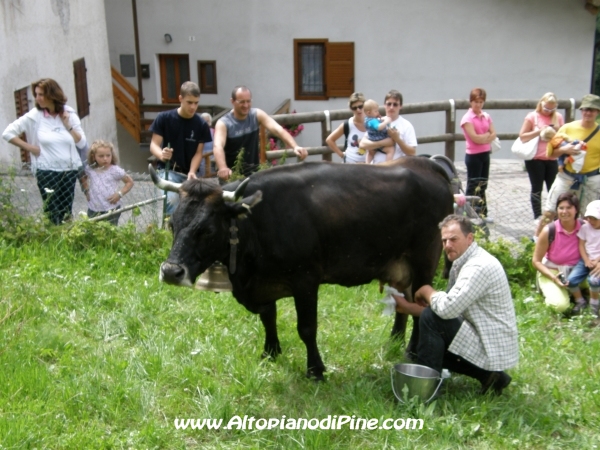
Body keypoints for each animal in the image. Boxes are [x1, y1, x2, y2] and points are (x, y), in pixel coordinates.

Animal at [152, 158, 452, 380]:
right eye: (172, 224)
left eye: (207, 230)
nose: (171, 272)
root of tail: (425, 164)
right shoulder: (263, 284)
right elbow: (268, 317)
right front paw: (270, 353)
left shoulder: (305, 280)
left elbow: (306, 328)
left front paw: (316, 370)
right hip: (400, 265)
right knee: (403, 302)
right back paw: (395, 342)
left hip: (425, 259)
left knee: (420, 305)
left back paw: (413, 352)